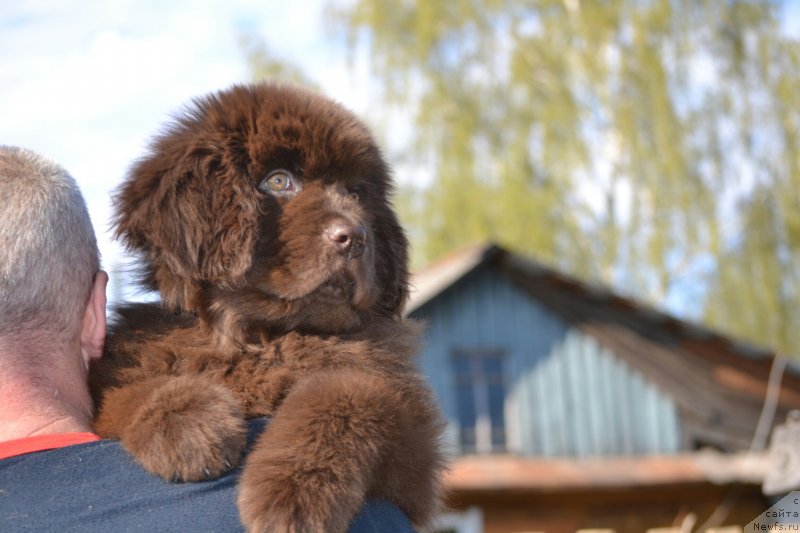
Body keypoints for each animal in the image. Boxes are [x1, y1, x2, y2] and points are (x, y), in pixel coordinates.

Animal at [92, 83, 450, 532]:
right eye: (278, 180)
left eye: (356, 193)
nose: (354, 237)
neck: (262, 338)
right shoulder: (118, 386)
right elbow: (133, 389)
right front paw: (190, 426)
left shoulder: (415, 454)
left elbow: (349, 390)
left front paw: (291, 492)